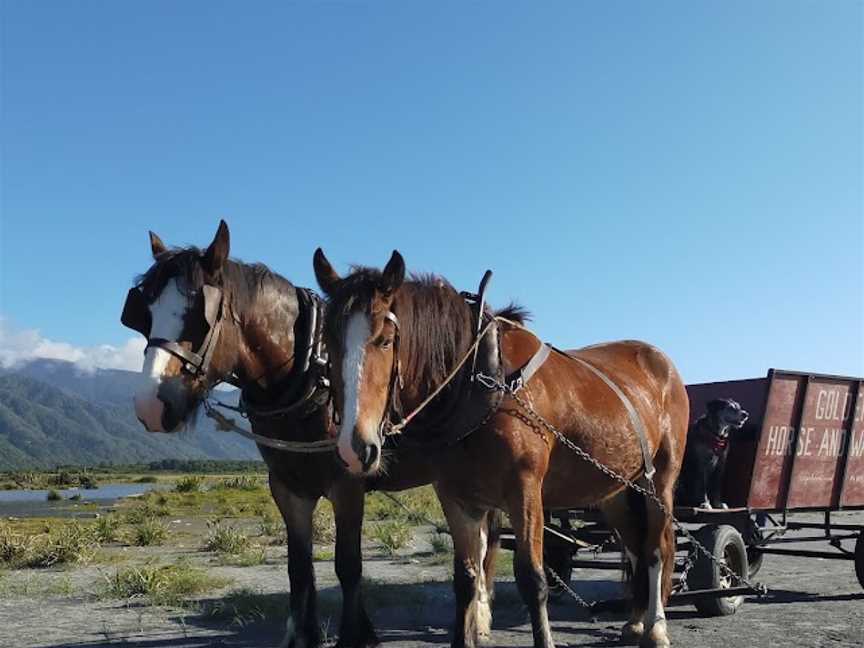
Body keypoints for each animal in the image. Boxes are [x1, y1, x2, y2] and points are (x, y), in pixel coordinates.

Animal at [120, 223, 492, 648]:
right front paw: (306, 634)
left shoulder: (347, 484)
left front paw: (356, 634)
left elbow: (348, 565)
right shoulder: (287, 487)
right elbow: (299, 568)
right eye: (144, 314)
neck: (306, 376)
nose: (150, 405)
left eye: (200, 317)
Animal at [314, 249, 692, 648]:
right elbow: (466, 576)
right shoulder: (456, 496)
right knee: (634, 547)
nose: (355, 447)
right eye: (329, 343)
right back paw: (635, 621)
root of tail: (662, 363)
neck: (480, 379)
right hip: (616, 489)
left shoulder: (524, 491)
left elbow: (532, 578)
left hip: (659, 480)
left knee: (656, 549)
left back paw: (656, 626)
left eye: (385, 340)